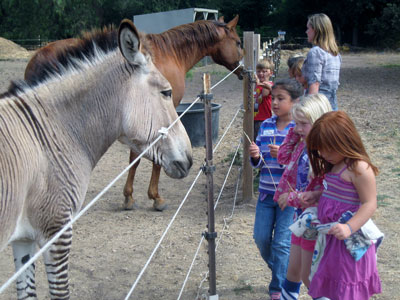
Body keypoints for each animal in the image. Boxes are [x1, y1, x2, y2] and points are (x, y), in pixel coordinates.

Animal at [25, 14, 244, 211]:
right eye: (238, 42)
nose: (244, 69)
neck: (171, 53)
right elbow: (143, 158)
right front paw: (152, 197)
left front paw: (132, 196)